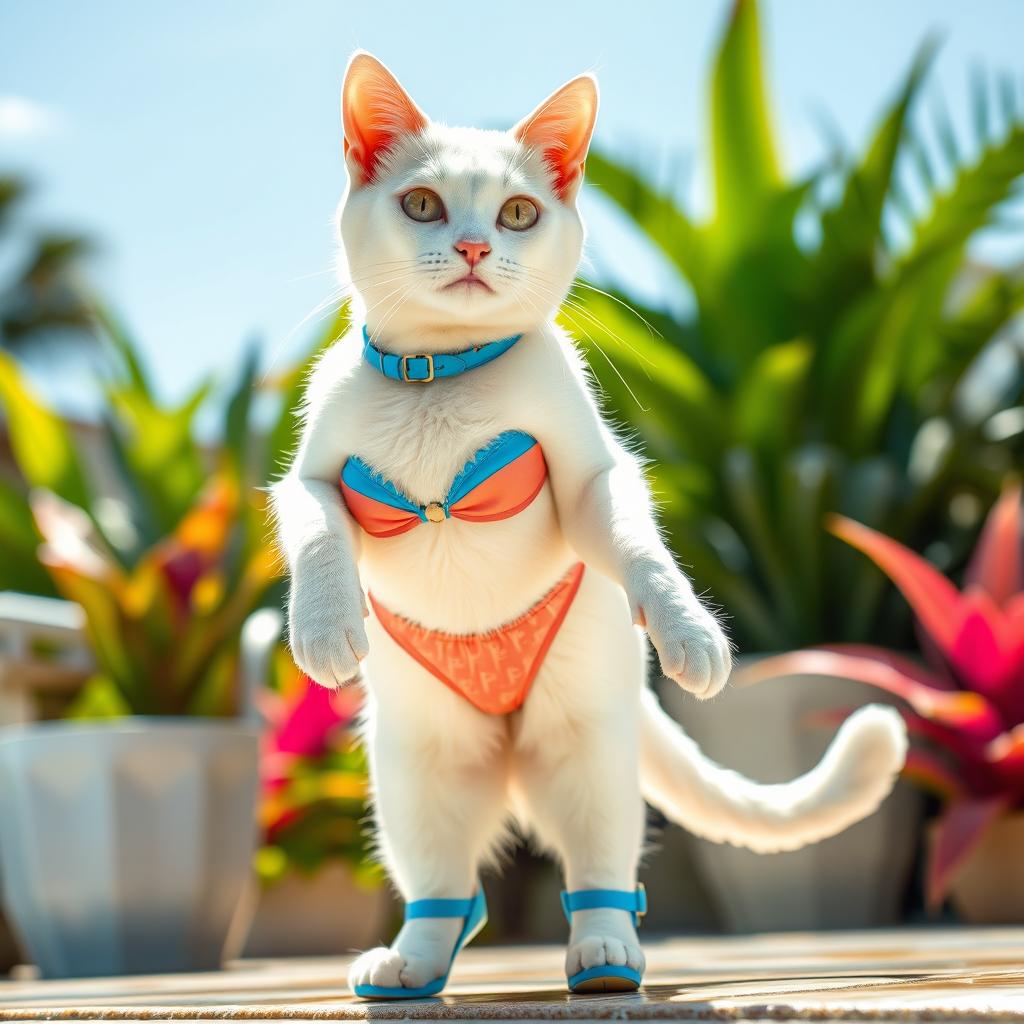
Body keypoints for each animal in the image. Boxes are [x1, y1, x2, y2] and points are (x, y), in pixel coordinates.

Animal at [270, 51, 905, 995]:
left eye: (517, 213)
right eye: (422, 204)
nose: (475, 246)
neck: (439, 377)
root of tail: (505, 741)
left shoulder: (593, 477)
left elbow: (639, 542)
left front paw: (688, 629)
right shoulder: (306, 479)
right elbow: (315, 533)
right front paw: (322, 627)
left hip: (585, 751)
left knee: (600, 869)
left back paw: (604, 954)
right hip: (419, 771)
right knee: (451, 890)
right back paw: (415, 962)